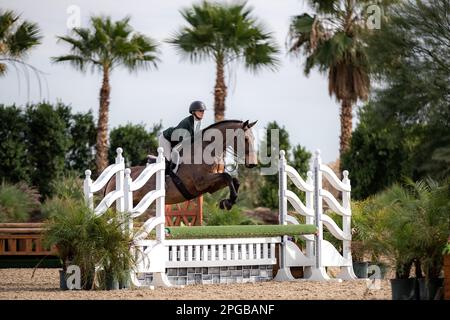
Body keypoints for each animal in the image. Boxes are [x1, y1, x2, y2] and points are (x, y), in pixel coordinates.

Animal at [103, 120, 255, 210]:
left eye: (253, 138)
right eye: (246, 139)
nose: (253, 164)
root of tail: (113, 178)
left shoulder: (211, 186)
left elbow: (233, 180)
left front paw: (227, 202)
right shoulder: (201, 182)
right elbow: (227, 176)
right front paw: (229, 201)